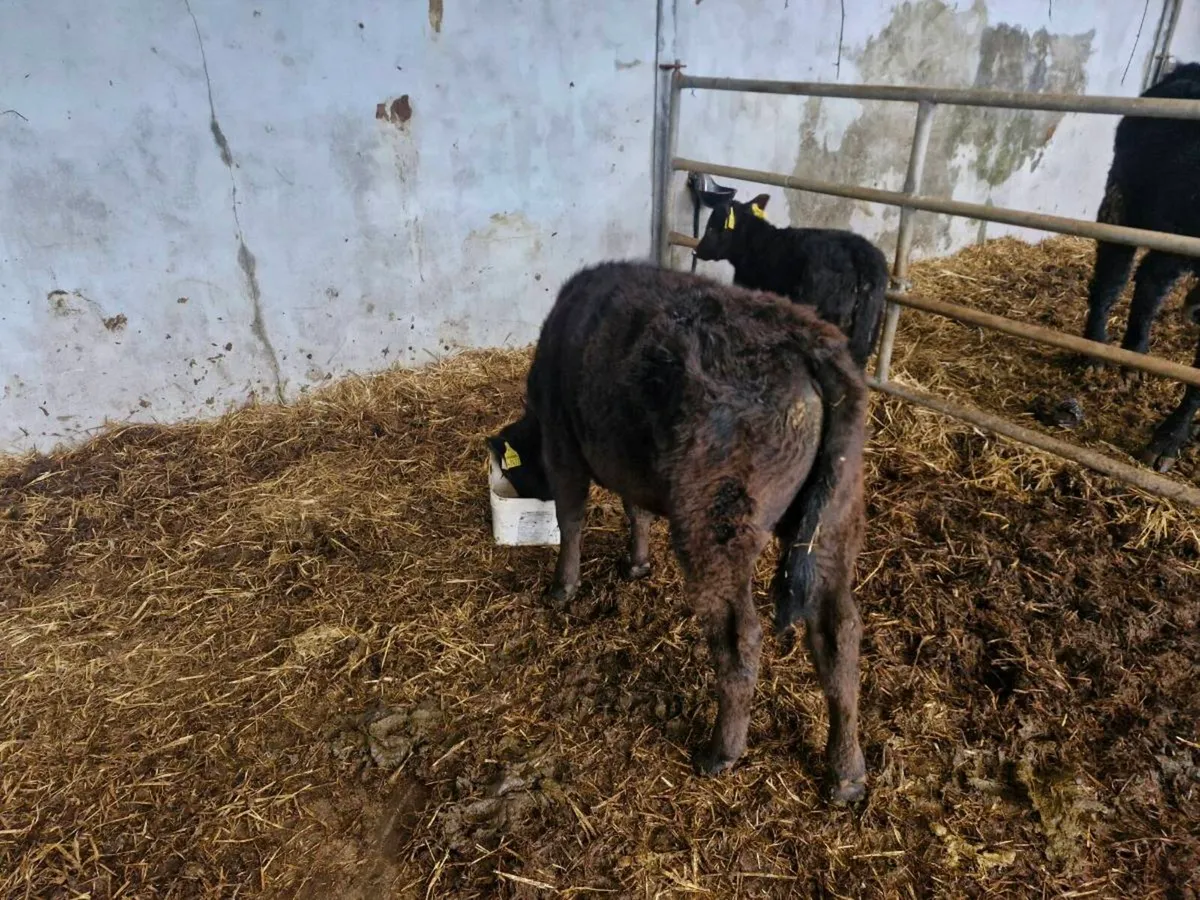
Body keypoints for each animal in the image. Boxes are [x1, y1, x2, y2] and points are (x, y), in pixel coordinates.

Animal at [490, 261, 869, 803]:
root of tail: (805, 341)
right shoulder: (627, 460)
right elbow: (636, 511)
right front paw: (637, 564)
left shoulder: (565, 448)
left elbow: (572, 517)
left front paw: (563, 588)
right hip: (833, 527)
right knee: (838, 633)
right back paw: (846, 772)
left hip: (717, 532)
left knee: (740, 637)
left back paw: (721, 751)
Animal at [1082, 62, 1200, 471]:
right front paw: (1166, 443)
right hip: (1122, 200)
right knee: (1113, 278)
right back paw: (1096, 352)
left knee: (1149, 281)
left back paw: (1134, 354)